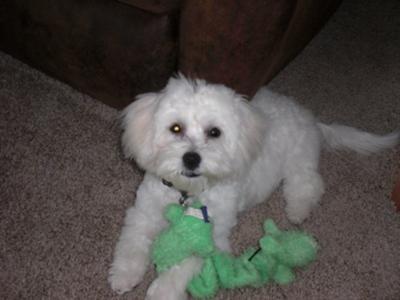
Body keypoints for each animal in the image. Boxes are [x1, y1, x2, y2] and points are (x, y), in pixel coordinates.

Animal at [108, 74, 398, 298]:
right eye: (175, 128)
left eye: (215, 132)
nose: (191, 158)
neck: (187, 191)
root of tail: (310, 118)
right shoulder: (143, 213)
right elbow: (132, 243)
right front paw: (123, 275)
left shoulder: (212, 236)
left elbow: (186, 263)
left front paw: (162, 291)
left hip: (298, 161)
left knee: (309, 184)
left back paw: (297, 211)